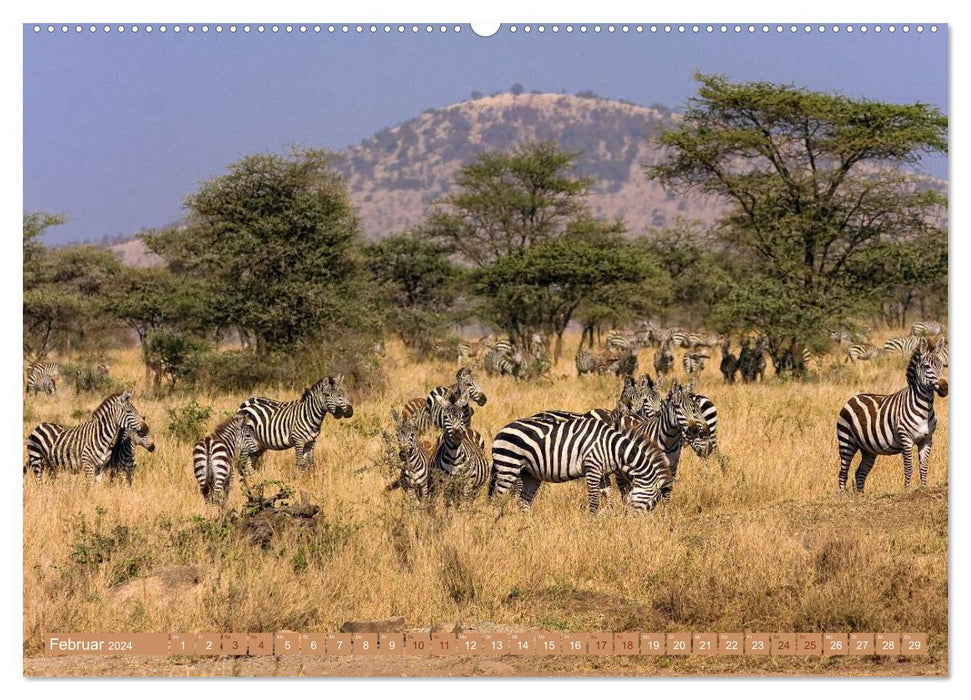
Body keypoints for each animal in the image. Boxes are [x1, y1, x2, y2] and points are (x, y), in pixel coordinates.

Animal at [25, 388, 155, 482]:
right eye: (129, 411)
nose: (146, 429)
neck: (103, 437)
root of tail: (40, 425)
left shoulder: (100, 468)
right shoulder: (88, 465)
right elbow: (89, 487)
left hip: (50, 464)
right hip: (36, 459)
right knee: (39, 482)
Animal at [490, 412, 672, 512]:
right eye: (651, 501)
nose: (636, 524)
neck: (612, 447)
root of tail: (501, 430)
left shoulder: (603, 473)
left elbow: (609, 500)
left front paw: (605, 516)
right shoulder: (592, 468)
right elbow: (594, 500)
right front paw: (591, 525)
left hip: (529, 473)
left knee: (523, 502)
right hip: (509, 467)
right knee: (497, 498)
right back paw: (498, 523)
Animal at [840, 340, 944, 492]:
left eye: (941, 365)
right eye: (926, 366)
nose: (944, 387)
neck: (924, 409)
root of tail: (853, 398)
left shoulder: (927, 440)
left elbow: (924, 467)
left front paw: (924, 488)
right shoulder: (905, 439)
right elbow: (909, 467)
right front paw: (907, 490)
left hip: (868, 449)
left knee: (860, 472)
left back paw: (861, 495)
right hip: (846, 442)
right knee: (843, 472)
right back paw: (842, 494)